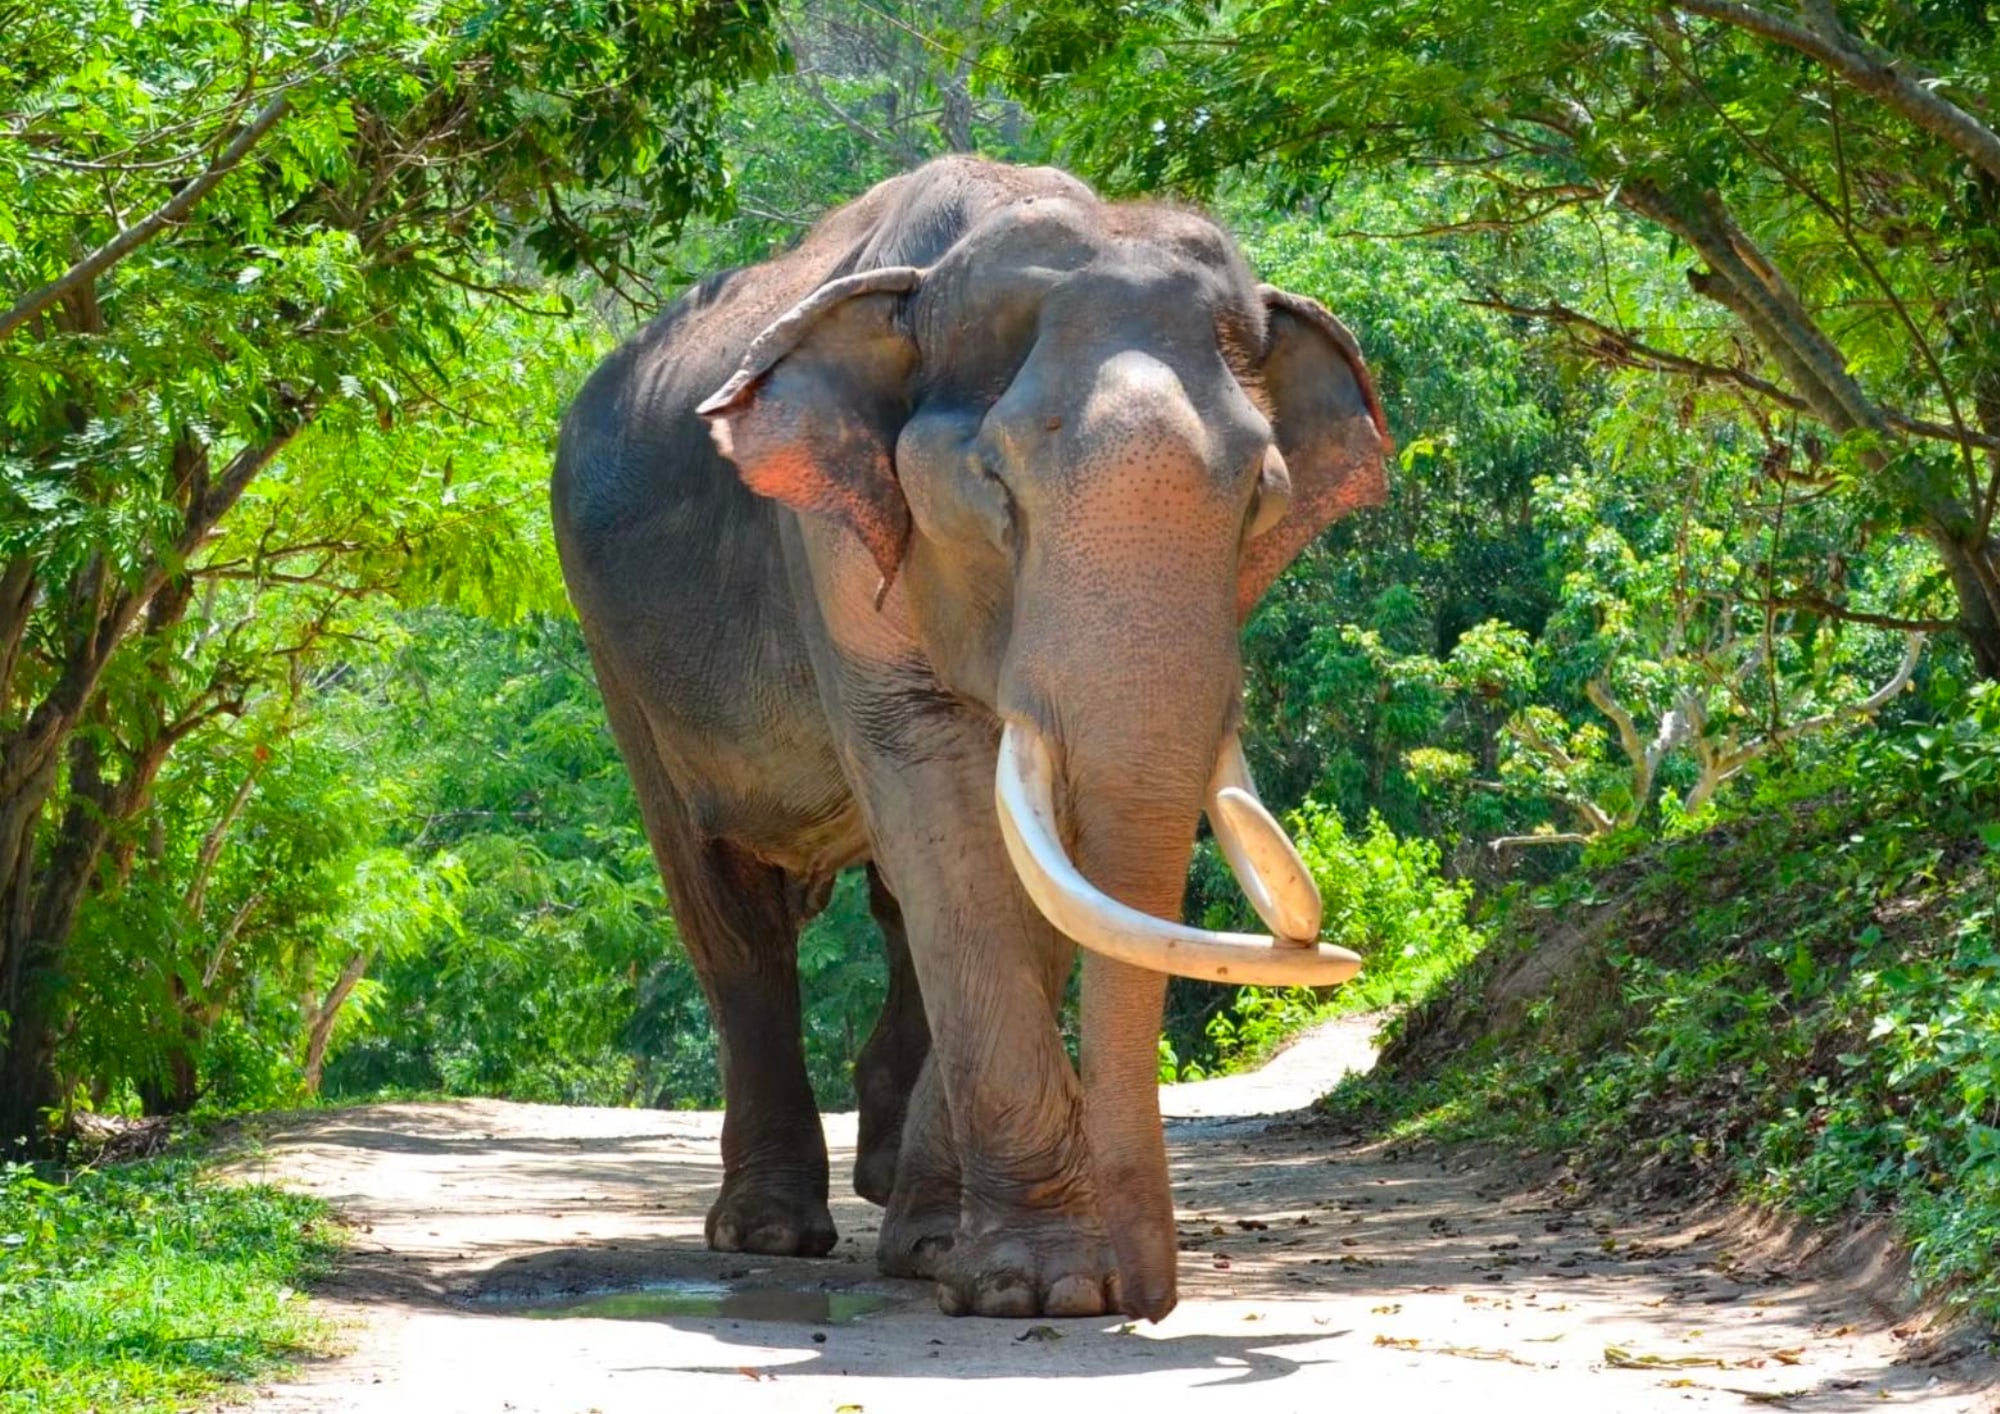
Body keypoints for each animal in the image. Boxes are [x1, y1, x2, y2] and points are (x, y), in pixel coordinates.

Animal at [551, 157, 1388, 1321]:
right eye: (995, 487)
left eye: (1260, 499)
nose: (1149, 1299)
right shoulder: (832, 556)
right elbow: (952, 825)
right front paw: (1038, 1290)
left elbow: (1019, 866)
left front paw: (958, 1257)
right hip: (618, 654)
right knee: (728, 913)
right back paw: (769, 1231)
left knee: (890, 910)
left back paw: (895, 1201)